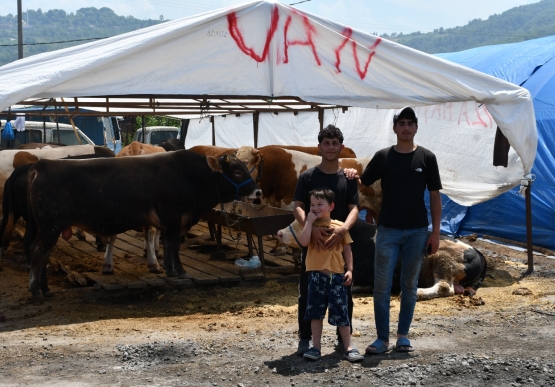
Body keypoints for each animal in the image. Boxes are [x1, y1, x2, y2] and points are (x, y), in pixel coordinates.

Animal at [25, 152, 262, 298]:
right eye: (237, 171)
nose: (258, 192)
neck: (188, 175)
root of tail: (43, 164)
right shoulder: (173, 217)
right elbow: (174, 245)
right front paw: (181, 272)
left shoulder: (167, 223)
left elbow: (167, 245)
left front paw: (169, 270)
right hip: (49, 227)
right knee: (37, 252)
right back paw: (35, 289)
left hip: (49, 228)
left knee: (43, 255)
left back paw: (45, 289)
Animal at [278, 221, 486, 300]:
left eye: (302, 223)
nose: (279, 232)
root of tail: (475, 250)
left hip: (443, 259)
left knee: (445, 287)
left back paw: (417, 292)